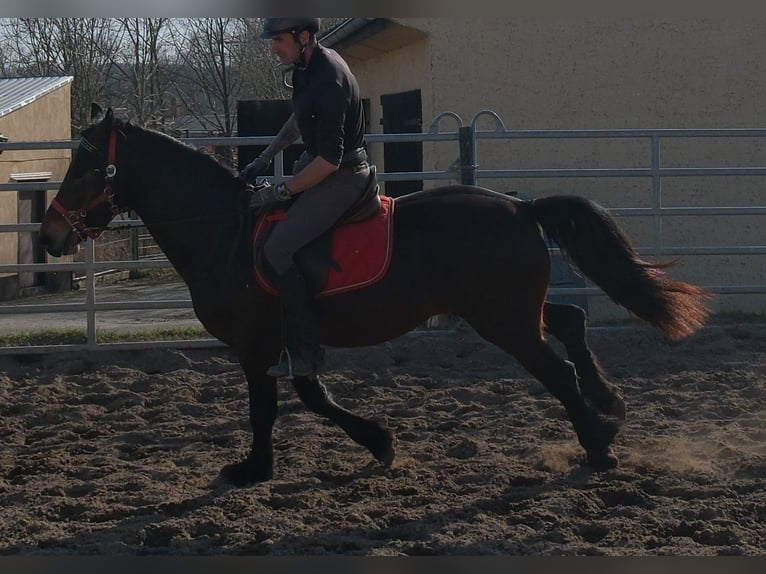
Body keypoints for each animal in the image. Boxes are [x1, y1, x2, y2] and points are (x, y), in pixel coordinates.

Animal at [39, 104, 710, 486]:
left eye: (87, 164)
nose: (49, 235)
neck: (224, 233)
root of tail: (520, 207)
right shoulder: (282, 339)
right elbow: (305, 395)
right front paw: (372, 443)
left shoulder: (258, 342)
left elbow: (279, 403)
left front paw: (260, 468)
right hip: (515, 309)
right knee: (571, 320)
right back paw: (610, 404)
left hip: (504, 321)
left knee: (558, 369)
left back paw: (598, 446)